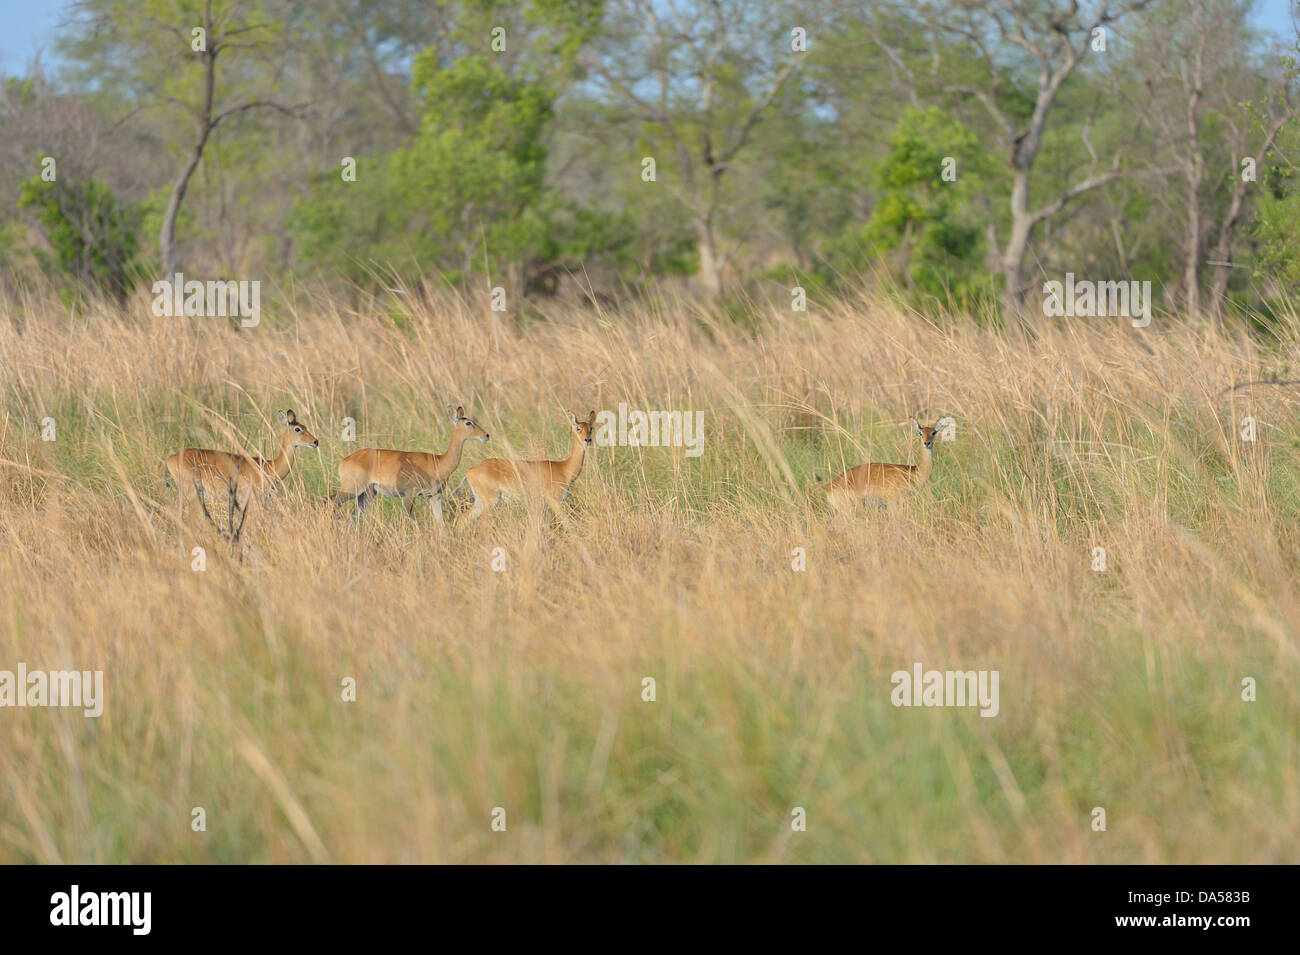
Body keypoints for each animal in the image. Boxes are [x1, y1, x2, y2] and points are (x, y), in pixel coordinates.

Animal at [338, 405, 488, 522]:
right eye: (468, 423)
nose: (486, 435)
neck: (438, 462)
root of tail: (344, 460)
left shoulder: (435, 495)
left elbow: (440, 522)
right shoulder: (410, 493)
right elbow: (406, 519)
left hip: (367, 494)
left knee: (352, 517)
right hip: (351, 490)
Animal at [462, 407, 595, 519]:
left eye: (591, 428)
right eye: (578, 428)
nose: (587, 440)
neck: (565, 469)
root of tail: (471, 470)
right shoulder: (554, 502)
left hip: (479, 502)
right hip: (490, 501)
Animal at [811, 415, 956, 511]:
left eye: (934, 432)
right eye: (920, 433)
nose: (927, 443)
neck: (914, 472)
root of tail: (828, 486)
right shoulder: (893, 503)